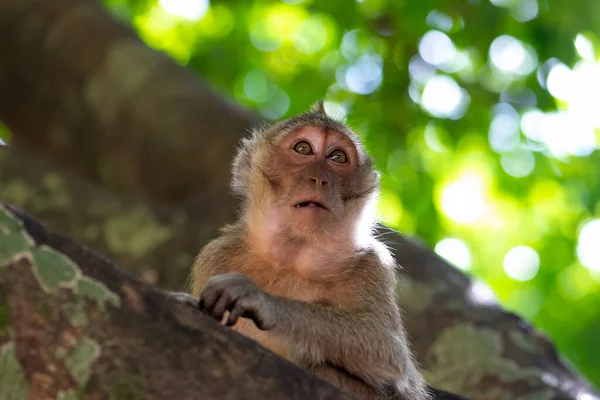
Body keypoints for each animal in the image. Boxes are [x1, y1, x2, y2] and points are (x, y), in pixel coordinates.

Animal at [188, 102, 432, 400]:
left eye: (337, 157)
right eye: (303, 148)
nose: (319, 179)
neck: (292, 256)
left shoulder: (372, 263)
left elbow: (387, 351)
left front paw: (261, 301)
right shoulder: (216, 255)